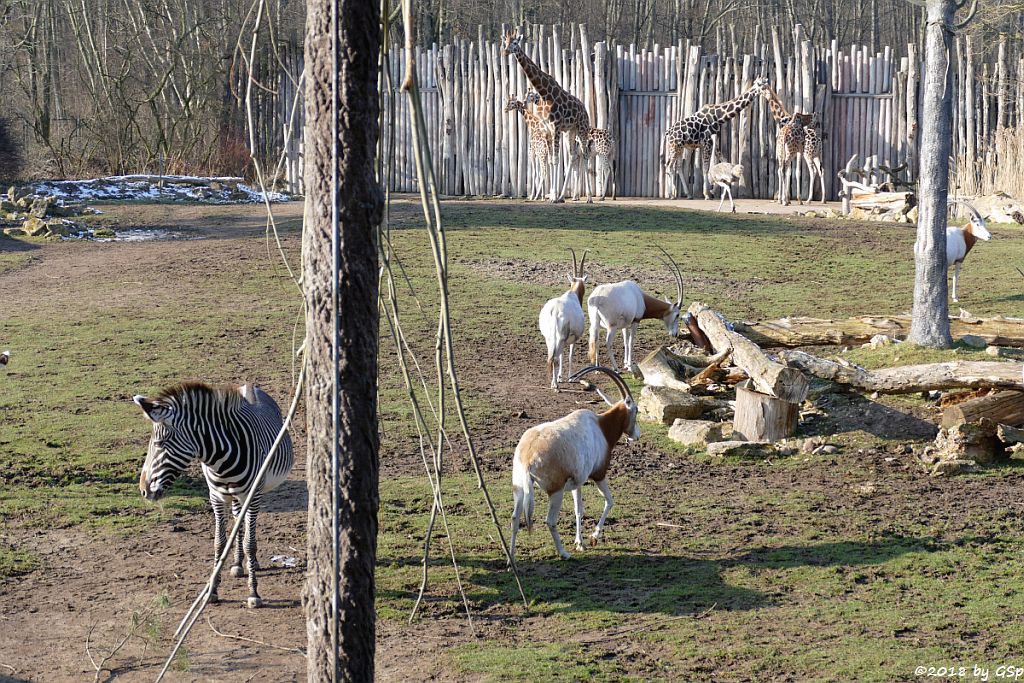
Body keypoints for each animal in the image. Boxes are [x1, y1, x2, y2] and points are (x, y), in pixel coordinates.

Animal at [132, 378, 292, 610]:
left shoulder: (251, 496)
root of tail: (249, 385)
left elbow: (250, 543)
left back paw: (249, 563)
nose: (143, 490)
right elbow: (219, 542)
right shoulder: (216, 497)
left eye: (159, 444)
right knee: (237, 519)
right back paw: (238, 563)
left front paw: (253, 592)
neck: (221, 461)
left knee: (246, 526)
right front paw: (213, 591)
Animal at [501, 32, 593, 202]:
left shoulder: (555, 126)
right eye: (506, 42)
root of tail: (585, 109)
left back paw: (589, 197)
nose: (505, 52)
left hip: (582, 129)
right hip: (570, 131)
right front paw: (555, 196)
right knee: (572, 156)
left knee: (584, 154)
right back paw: (563, 195)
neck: (544, 93)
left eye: (515, 43)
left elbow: (555, 160)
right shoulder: (548, 129)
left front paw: (552, 197)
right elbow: (551, 160)